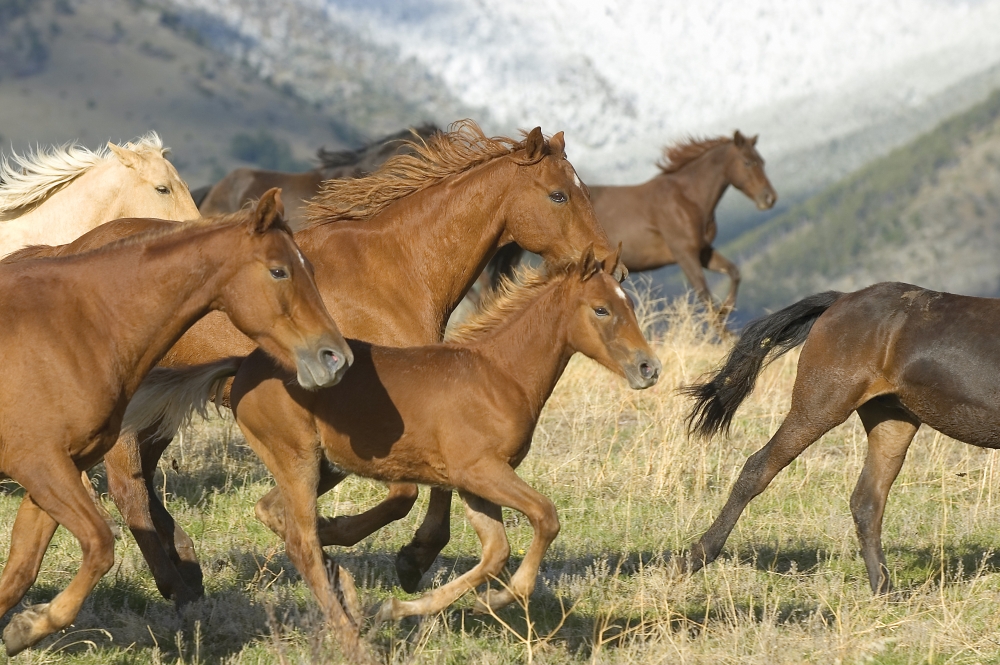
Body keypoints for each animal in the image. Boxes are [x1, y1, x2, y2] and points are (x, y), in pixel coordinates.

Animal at [0, 190, 351, 657]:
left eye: (310, 268)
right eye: (279, 270)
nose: (335, 357)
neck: (77, 327)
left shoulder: (56, 473)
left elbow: (20, 571)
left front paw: (23, 628)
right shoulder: (39, 465)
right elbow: (100, 544)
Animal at [122, 248, 660, 652]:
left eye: (628, 304)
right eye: (601, 309)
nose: (648, 367)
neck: (498, 374)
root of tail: (245, 364)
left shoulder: (475, 482)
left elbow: (494, 551)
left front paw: (406, 605)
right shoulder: (481, 471)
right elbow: (545, 518)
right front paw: (502, 599)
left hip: (325, 464)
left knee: (274, 512)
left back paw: (345, 585)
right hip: (297, 457)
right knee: (298, 536)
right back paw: (343, 610)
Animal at [482, 131, 776, 319]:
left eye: (763, 161)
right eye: (748, 162)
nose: (769, 198)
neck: (687, 198)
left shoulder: (702, 252)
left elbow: (734, 272)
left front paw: (728, 309)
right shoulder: (685, 255)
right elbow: (705, 296)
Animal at [680, 282, 1000, 594]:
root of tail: (841, 299)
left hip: (892, 420)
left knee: (867, 500)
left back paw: (883, 590)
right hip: (821, 404)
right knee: (758, 467)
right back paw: (696, 558)